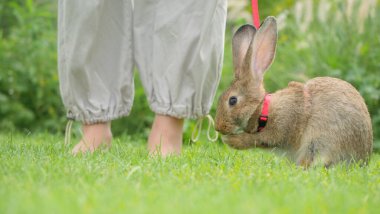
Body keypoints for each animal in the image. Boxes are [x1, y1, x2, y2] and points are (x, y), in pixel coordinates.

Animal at [215, 16, 372, 167]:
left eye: (233, 100)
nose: (218, 127)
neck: (263, 110)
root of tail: (363, 158)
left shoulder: (279, 129)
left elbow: (255, 139)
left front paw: (230, 140)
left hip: (319, 141)